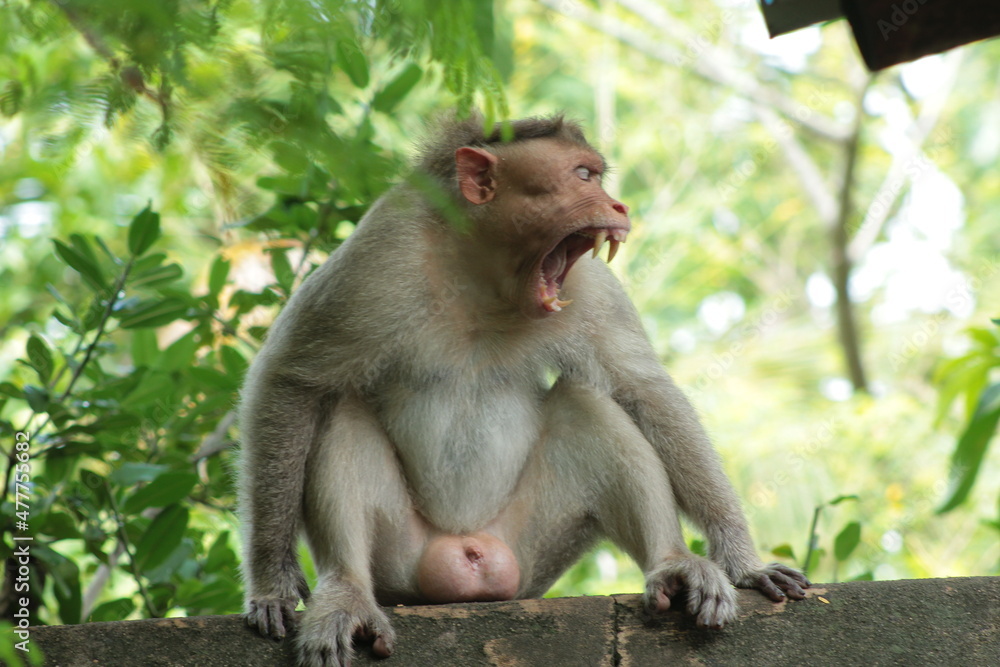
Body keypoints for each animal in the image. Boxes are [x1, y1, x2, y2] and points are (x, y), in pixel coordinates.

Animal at [238, 113, 809, 667]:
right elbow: (293, 378)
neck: (485, 270)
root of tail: (470, 557)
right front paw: (273, 586)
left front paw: (743, 563)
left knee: (585, 404)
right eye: (583, 175)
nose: (618, 205)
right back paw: (348, 595)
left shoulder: (589, 287)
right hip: (400, 563)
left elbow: (643, 391)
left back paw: (673, 566)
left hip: (529, 553)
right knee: (343, 410)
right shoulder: (376, 259)